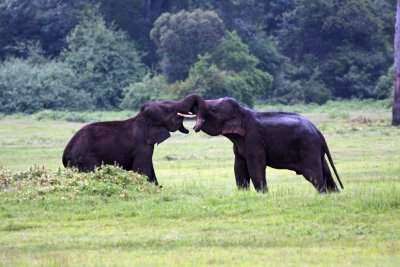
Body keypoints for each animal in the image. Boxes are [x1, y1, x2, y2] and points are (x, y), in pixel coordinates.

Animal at [64, 93, 206, 184]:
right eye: (171, 109)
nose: (194, 128)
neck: (142, 119)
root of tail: (65, 157)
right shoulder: (142, 146)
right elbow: (142, 169)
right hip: (86, 159)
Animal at [192, 97, 342, 194]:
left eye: (212, 109)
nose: (193, 127)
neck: (242, 111)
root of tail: (319, 132)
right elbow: (239, 167)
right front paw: (243, 193)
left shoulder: (254, 139)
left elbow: (256, 166)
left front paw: (262, 195)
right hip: (316, 150)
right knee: (326, 171)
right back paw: (334, 194)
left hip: (308, 148)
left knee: (314, 174)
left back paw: (323, 194)